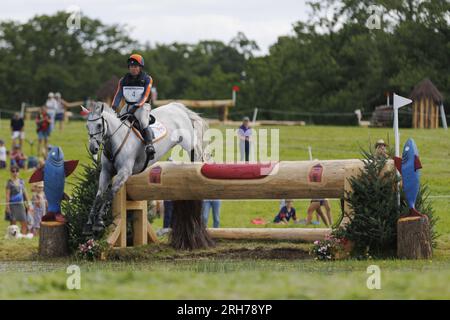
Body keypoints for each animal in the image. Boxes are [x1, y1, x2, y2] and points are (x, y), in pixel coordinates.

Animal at [81, 101, 208, 234]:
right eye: (87, 126)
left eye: (99, 125)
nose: (93, 148)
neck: (115, 140)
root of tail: (176, 106)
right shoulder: (106, 172)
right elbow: (99, 195)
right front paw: (89, 224)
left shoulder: (124, 172)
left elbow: (110, 194)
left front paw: (99, 222)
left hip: (189, 143)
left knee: (197, 154)